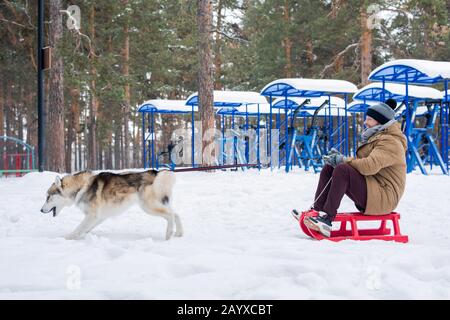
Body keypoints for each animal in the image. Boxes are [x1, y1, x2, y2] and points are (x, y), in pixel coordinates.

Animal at [40, 170, 183, 240]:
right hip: (158, 204)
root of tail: (155, 173)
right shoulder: (99, 217)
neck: (80, 187)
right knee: (176, 214)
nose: (41, 210)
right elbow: (85, 229)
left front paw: (68, 238)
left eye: (48, 197)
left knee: (170, 215)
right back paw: (179, 233)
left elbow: (78, 228)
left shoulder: (92, 215)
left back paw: (169, 234)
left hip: (148, 207)